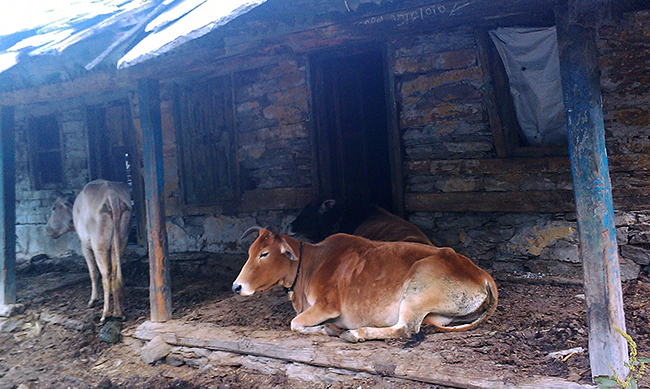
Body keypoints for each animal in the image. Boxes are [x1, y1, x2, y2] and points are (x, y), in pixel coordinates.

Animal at [45, 179, 132, 322]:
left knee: (105, 275)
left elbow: (93, 272)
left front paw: (93, 299)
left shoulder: (85, 246)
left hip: (99, 245)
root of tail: (111, 192)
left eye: (53, 207)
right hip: (121, 241)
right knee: (114, 274)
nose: (46, 229)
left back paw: (105, 313)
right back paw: (118, 312)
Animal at [233, 227, 496, 342]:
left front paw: (329, 329)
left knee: (405, 329)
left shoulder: (328, 306)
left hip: (417, 288)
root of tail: (482, 274)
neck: (312, 264)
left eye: (264, 254)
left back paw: (356, 333)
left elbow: (294, 323)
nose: (236, 286)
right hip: (437, 314)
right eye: (250, 251)